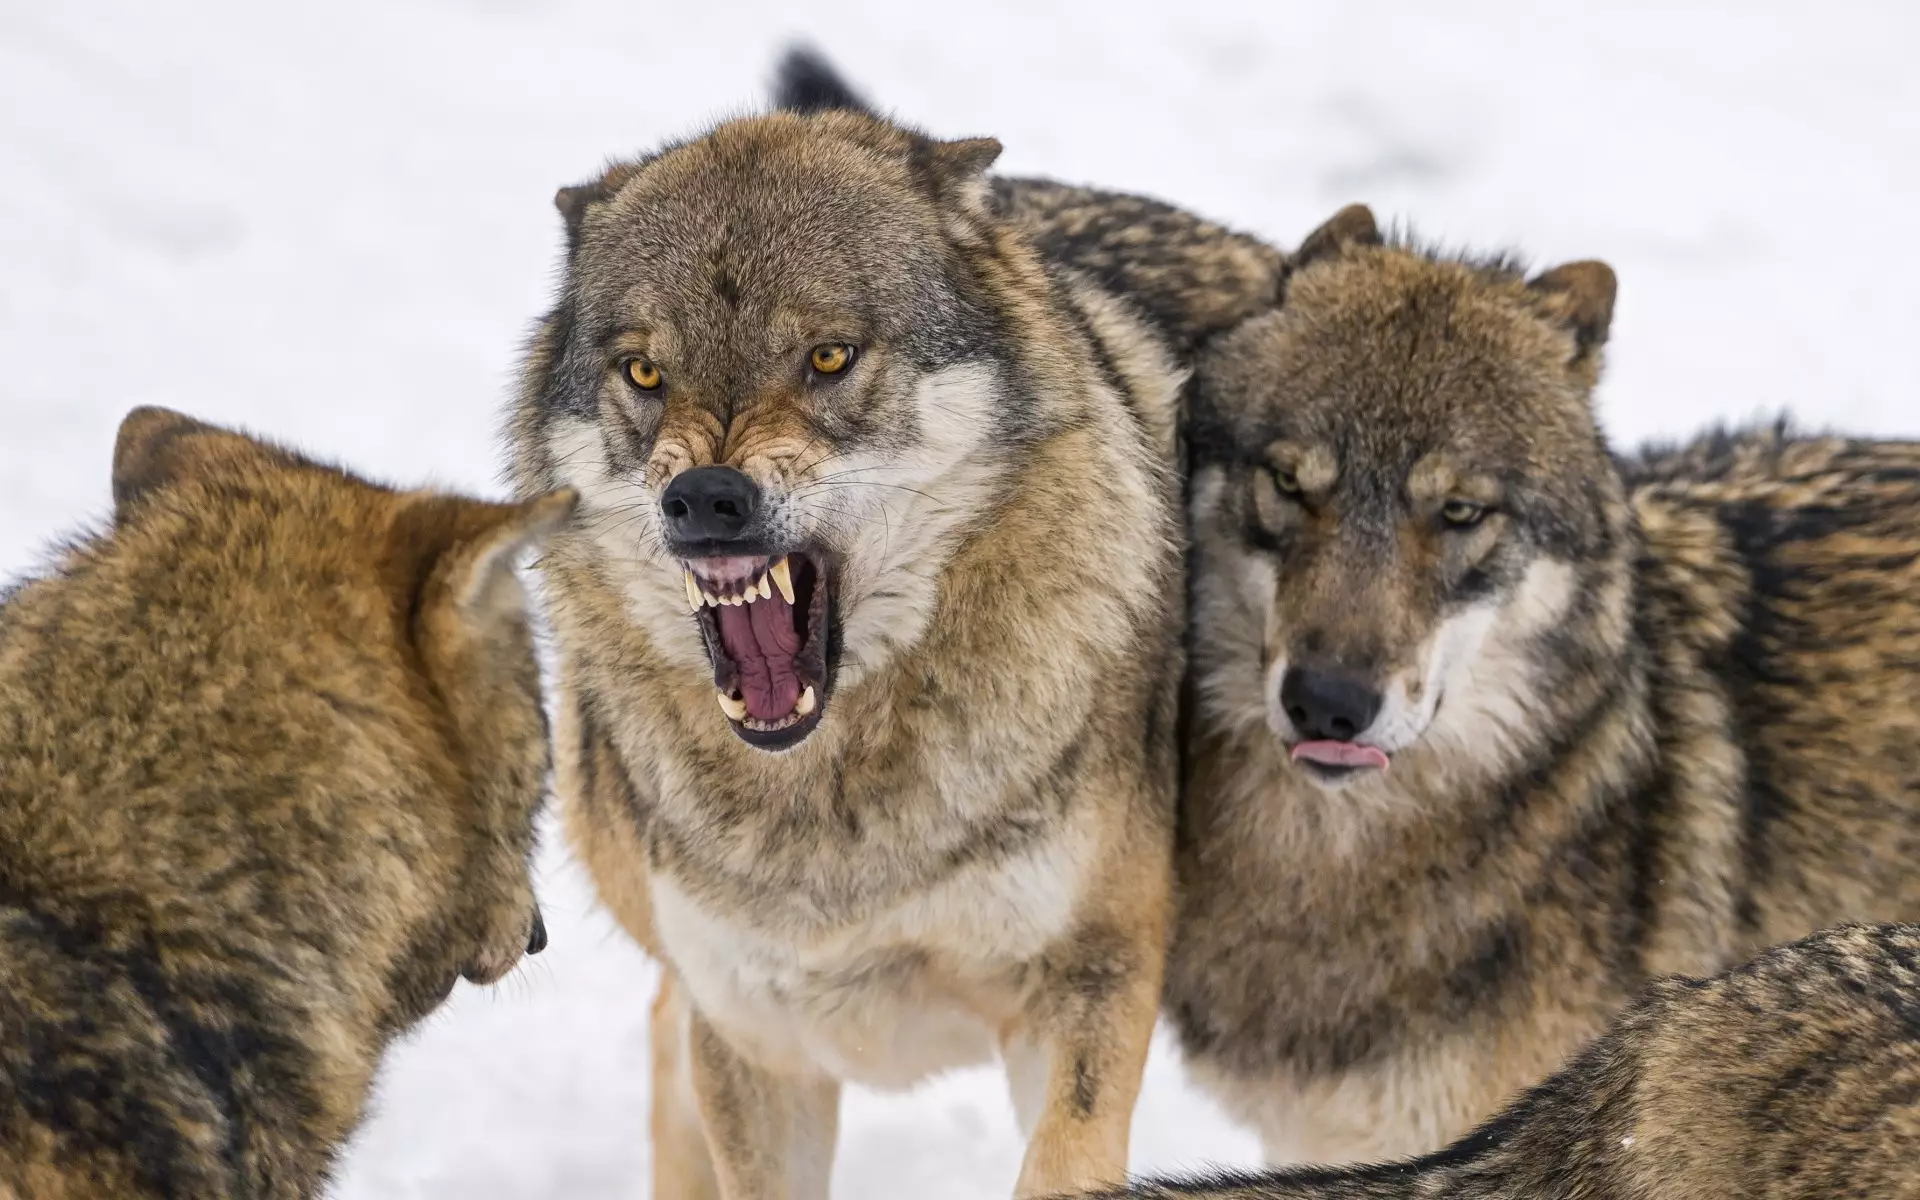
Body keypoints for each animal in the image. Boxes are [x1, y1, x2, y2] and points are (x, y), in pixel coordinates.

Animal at [503, 53, 1205, 1190]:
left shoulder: (1091, 982)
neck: (836, 811)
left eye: (829, 358)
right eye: (646, 372)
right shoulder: (755, 1038)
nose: (703, 499)